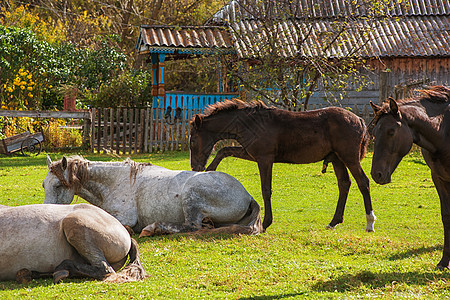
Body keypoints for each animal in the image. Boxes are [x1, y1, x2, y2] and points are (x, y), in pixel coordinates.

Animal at [43, 156, 262, 236]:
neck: (115, 181)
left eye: (57, 185)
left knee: (192, 227)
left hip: (191, 195)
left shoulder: (124, 218)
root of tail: (247, 195)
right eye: (44, 185)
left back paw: (154, 228)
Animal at [190, 99, 376, 231]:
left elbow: (266, 190)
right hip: (337, 158)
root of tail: (359, 120)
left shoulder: (264, 158)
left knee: (363, 182)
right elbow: (224, 150)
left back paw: (370, 223)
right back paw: (334, 222)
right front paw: (210, 170)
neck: (251, 124)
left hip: (349, 157)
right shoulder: (252, 154)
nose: (195, 167)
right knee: (344, 183)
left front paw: (265, 223)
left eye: (192, 141)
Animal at [370, 85, 450, 270]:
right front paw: (444, 262)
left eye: (391, 131)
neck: (444, 130)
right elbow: (446, 216)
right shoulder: (439, 178)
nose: (376, 174)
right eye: (374, 132)